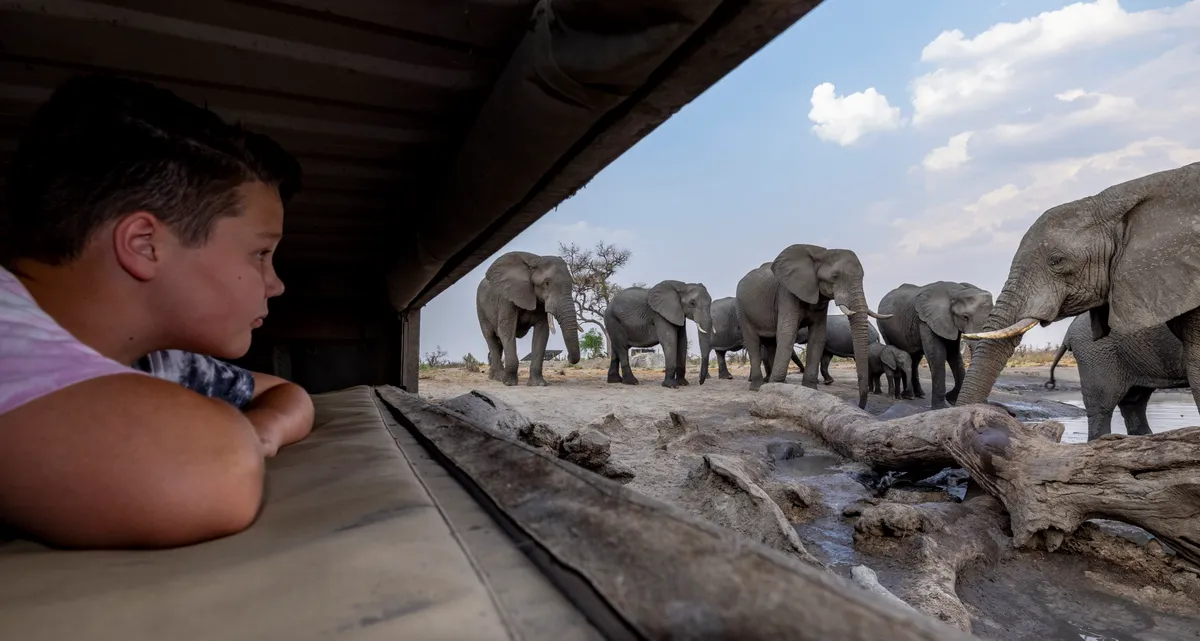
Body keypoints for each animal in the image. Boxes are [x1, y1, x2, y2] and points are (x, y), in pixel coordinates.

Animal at [476, 251, 581, 386]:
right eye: (546, 283)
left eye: (572, 283)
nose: (567, 357)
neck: (536, 260)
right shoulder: (507, 298)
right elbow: (506, 330)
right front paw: (509, 383)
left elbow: (542, 333)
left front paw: (538, 384)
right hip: (480, 309)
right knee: (491, 337)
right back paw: (498, 378)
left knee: (498, 343)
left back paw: (494, 376)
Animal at [735, 244, 890, 408]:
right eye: (835, 277)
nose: (859, 405)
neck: (820, 253)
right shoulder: (787, 293)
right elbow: (787, 333)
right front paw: (774, 389)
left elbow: (818, 336)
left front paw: (810, 390)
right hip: (742, 309)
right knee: (753, 342)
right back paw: (757, 388)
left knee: (771, 343)